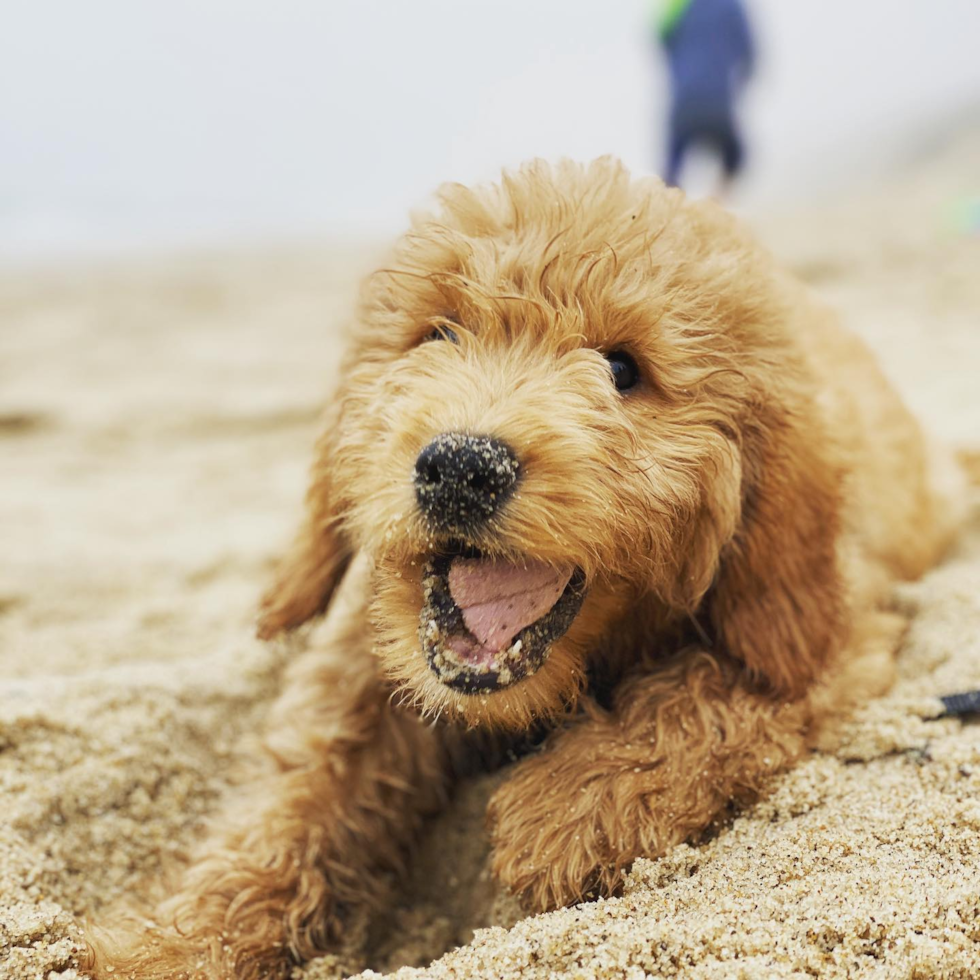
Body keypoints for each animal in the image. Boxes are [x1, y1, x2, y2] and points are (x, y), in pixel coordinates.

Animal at [88, 159, 960, 980]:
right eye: (438, 334)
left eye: (623, 370)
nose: (461, 466)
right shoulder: (368, 654)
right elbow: (299, 786)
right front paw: (177, 940)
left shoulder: (837, 629)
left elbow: (709, 693)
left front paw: (568, 806)